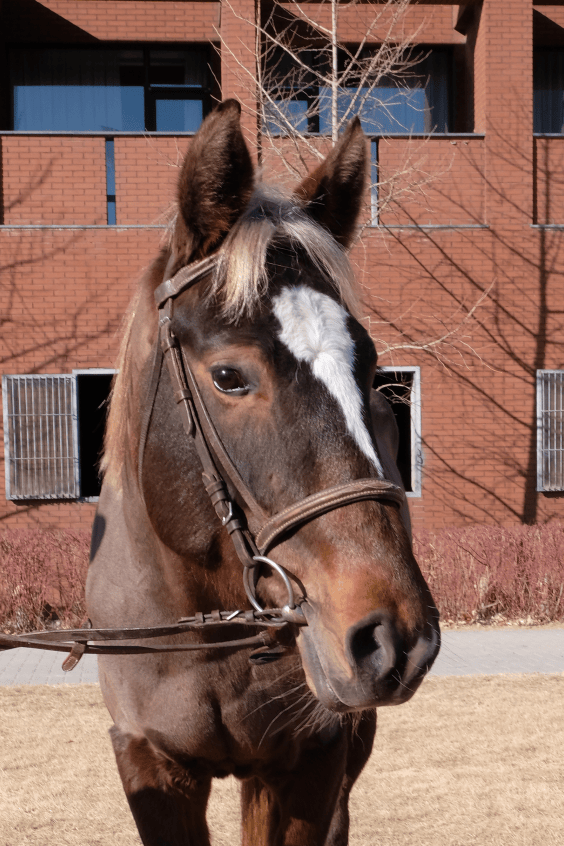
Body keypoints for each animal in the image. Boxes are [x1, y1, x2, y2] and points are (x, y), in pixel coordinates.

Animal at [86, 99, 440, 846]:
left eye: (373, 368)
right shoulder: (149, 763)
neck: (206, 632)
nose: (392, 637)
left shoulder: (309, 760)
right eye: (229, 375)